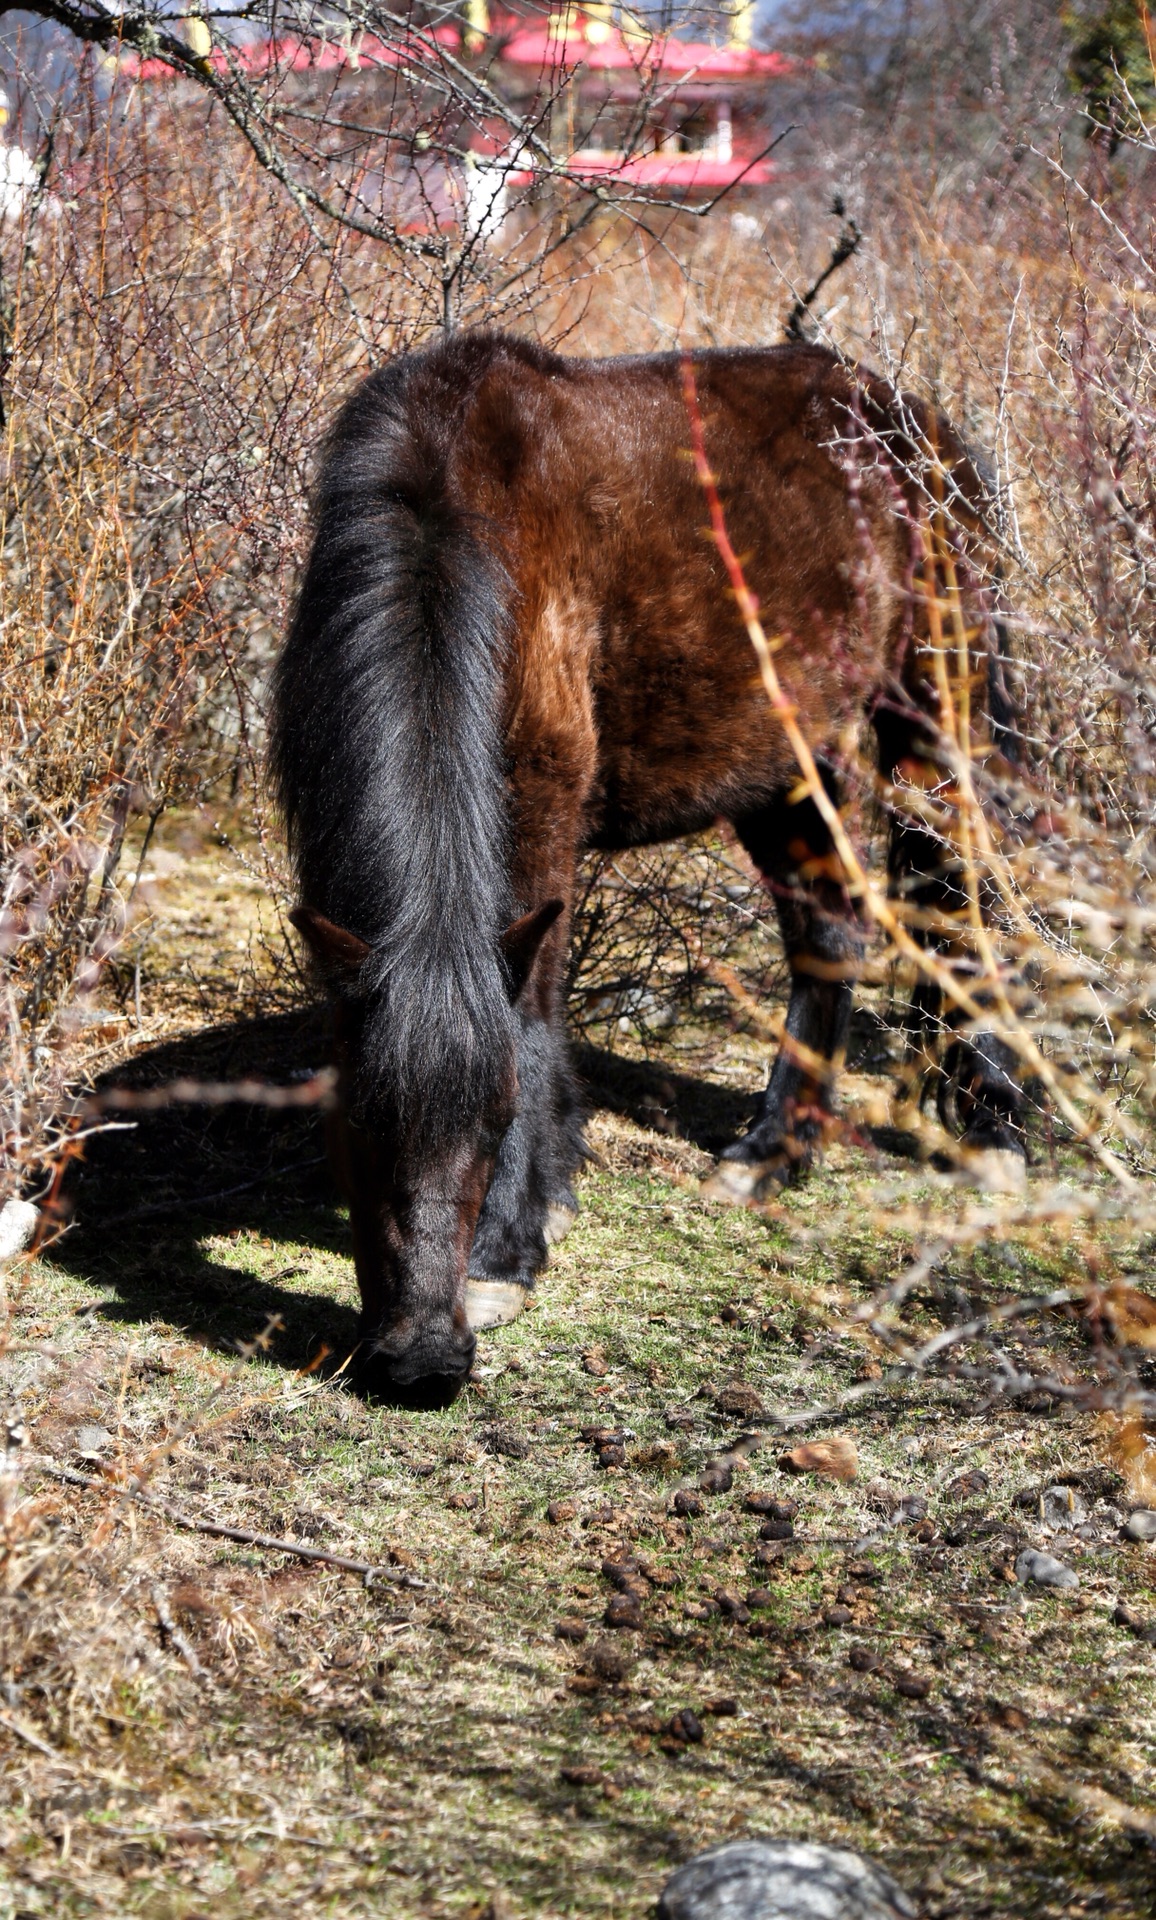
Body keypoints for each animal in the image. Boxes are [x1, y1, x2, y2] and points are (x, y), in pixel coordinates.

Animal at [272, 330, 1029, 1405]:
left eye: (495, 1121)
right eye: (357, 1127)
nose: (423, 1363)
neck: (448, 524)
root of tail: (915, 426)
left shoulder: (538, 816)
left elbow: (531, 1013)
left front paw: (507, 1249)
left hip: (935, 720)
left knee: (967, 901)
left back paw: (992, 1130)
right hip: (786, 763)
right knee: (832, 930)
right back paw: (777, 1151)